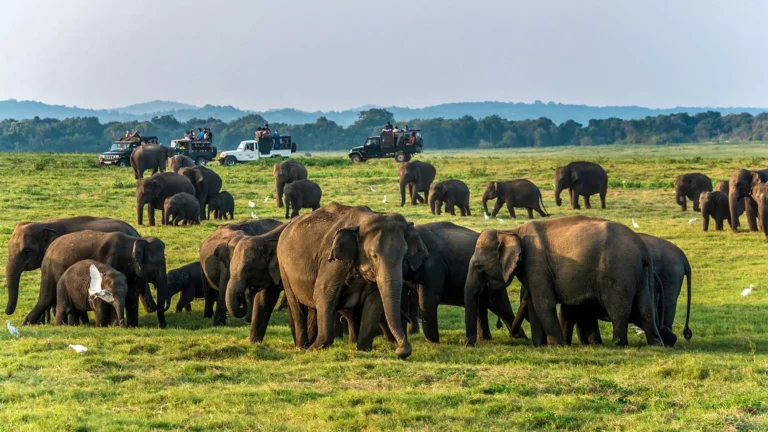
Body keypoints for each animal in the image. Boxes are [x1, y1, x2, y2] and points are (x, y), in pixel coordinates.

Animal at [23, 231, 170, 328]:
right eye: (160, 264)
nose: (162, 326)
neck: (134, 241)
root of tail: (49, 249)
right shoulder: (111, 261)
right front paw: (113, 325)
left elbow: (132, 295)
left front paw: (132, 326)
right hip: (52, 270)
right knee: (46, 299)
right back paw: (28, 324)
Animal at [277, 203, 428, 358]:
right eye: (374, 255)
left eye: (404, 255)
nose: (401, 351)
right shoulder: (331, 263)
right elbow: (324, 293)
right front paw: (313, 350)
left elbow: (375, 301)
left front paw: (363, 349)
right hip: (283, 266)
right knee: (296, 305)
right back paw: (302, 347)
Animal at [463, 216, 664, 347]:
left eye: (478, 267)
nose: (468, 344)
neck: (513, 231)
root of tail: (642, 248)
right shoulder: (532, 269)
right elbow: (535, 305)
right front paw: (540, 346)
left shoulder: (536, 263)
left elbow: (543, 304)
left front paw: (557, 345)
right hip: (640, 275)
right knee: (646, 309)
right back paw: (656, 344)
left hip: (619, 271)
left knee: (618, 309)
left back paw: (618, 344)